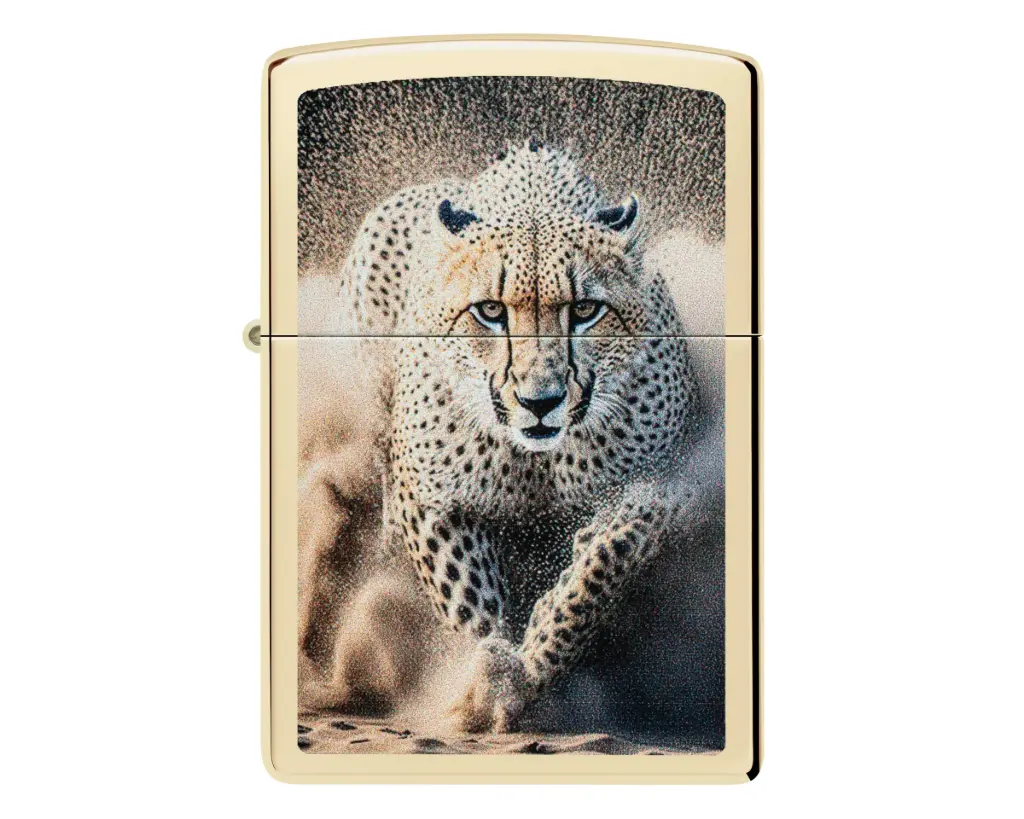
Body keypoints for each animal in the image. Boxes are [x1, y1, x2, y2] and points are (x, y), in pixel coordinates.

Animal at [299, 139, 702, 733]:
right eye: (490, 310)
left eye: (585, 310)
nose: (540, 400)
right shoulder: (433, 496)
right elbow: (467, 596)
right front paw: (489, 682)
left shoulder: (672, 483)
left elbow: (613, 550)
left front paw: (540, 645)